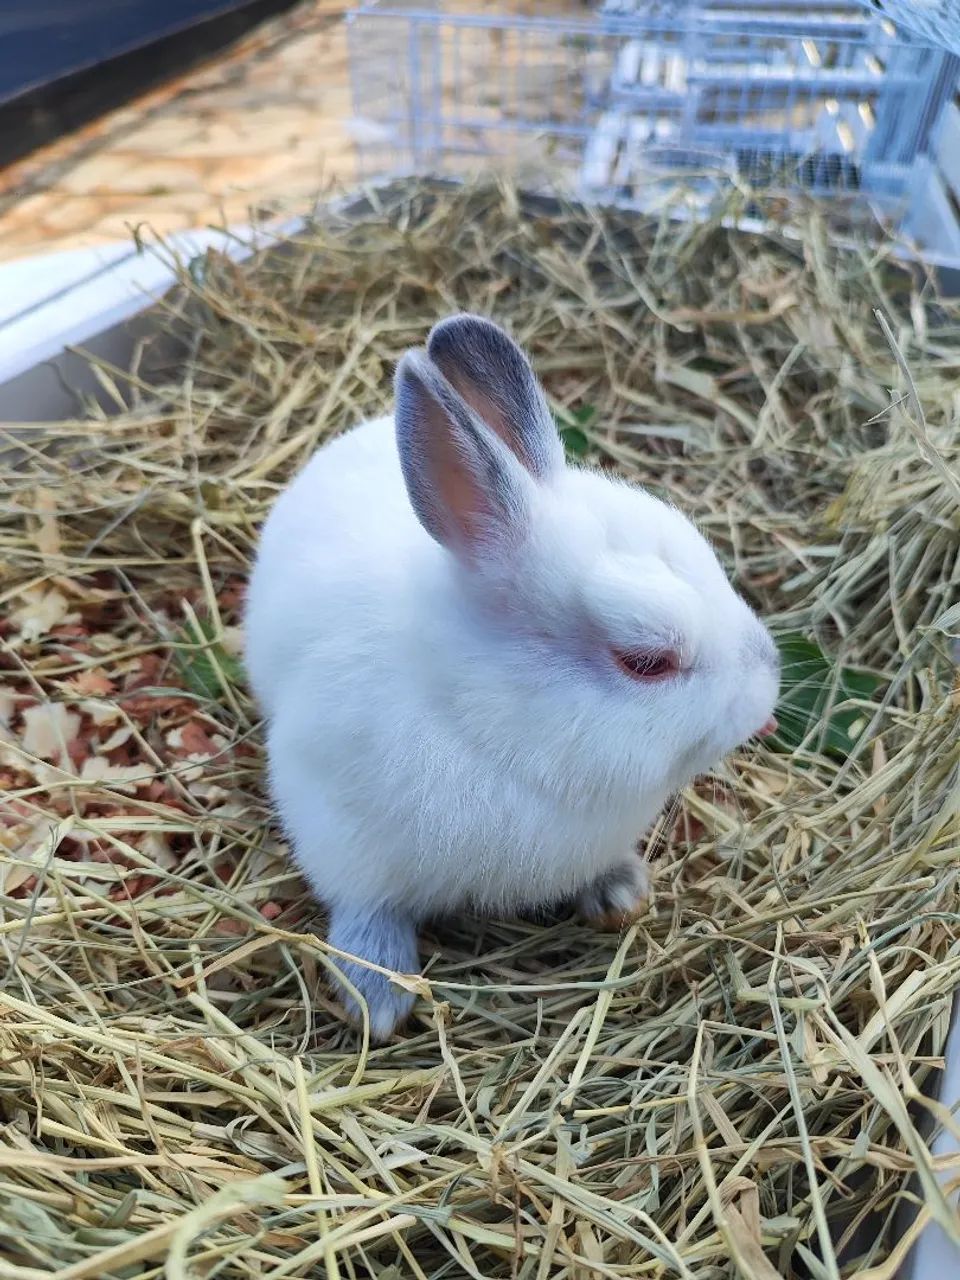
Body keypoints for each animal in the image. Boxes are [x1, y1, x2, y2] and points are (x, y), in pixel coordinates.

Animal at [245, 314, 781, 1040]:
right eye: (645, 661)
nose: (770, 686)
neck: (487, 726)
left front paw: (621, 890)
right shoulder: (337, 830)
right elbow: (366, 907)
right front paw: (377, 999)